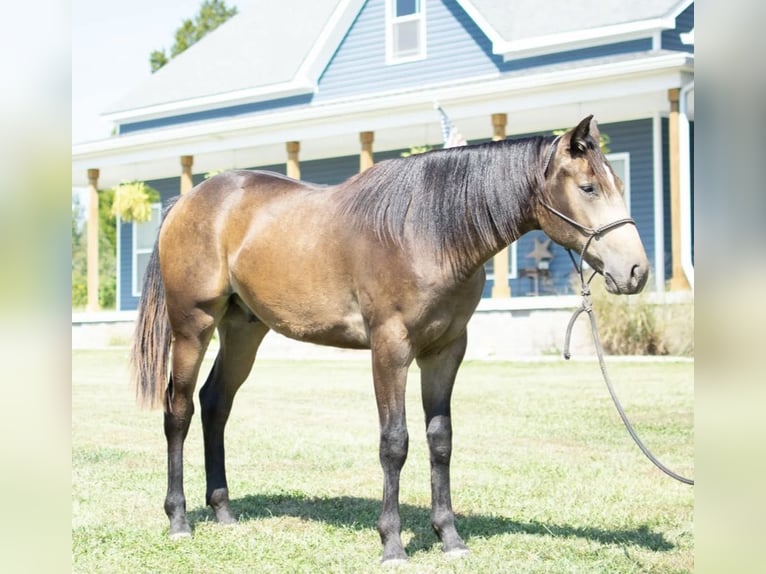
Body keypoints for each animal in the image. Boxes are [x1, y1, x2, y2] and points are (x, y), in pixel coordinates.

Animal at [130, 115, 648, 564]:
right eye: (588, 188)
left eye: (620, 185)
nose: (636, 271)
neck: (428, 231)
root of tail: (186, 201)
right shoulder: (390, 349)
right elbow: (394, 443)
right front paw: (393, 544)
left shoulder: (445, 351)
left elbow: (440, 440)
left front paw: (449, 538)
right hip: (193, 326)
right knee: (179, 410)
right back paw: (179, 520)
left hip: (243, 330)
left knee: (216, 403)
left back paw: (223, 511)